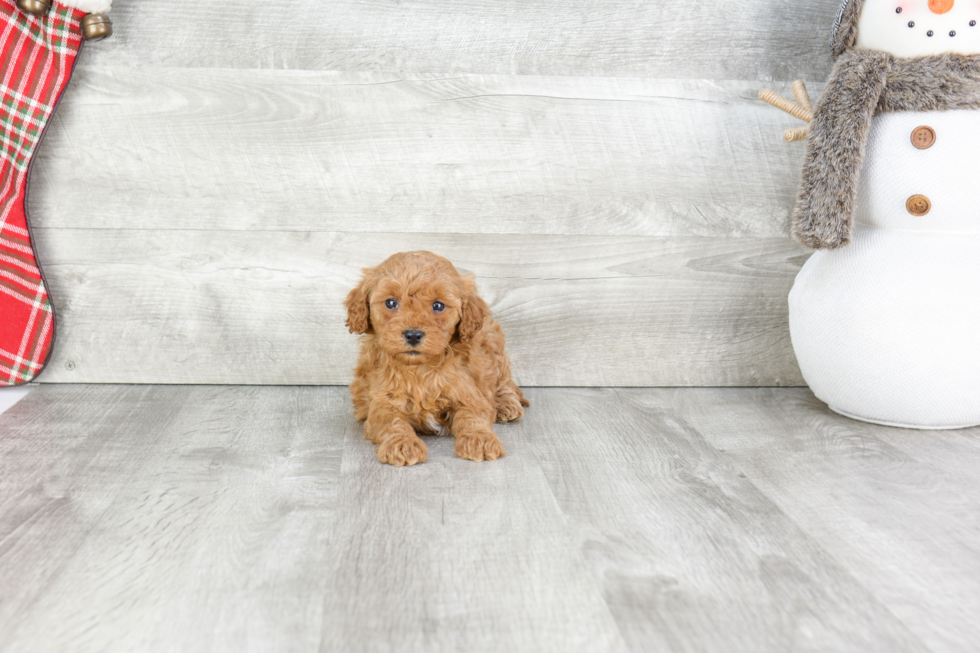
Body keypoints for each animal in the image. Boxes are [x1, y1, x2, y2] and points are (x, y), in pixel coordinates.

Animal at [344, 247, 528, 466]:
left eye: (438, 306)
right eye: (391, 302)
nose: (413, 334)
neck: (419, 368)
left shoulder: (469, 394)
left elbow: (473, 417)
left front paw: (480, 439)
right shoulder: (383, 402)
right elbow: (393, 422)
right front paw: (403, 444)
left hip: (495, 346)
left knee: (505, 382)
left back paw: (507, 405)